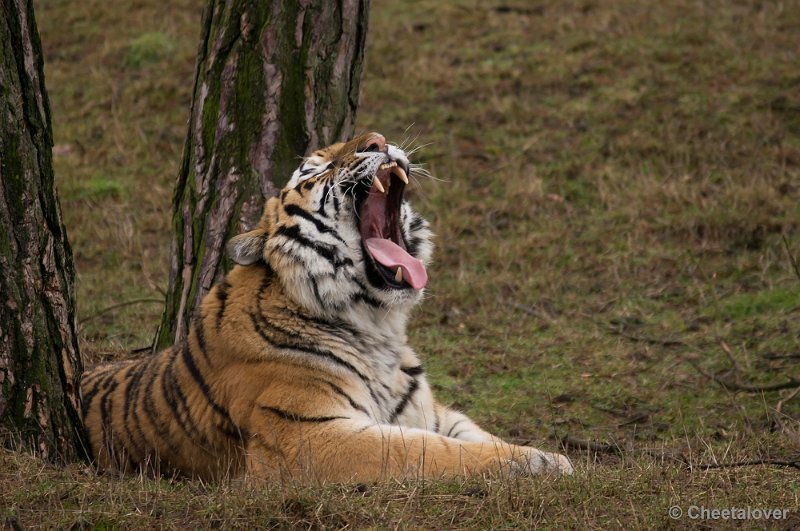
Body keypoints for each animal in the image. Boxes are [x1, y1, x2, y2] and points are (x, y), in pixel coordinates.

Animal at [78, 132, 572, 482]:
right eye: (314, 169)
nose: (377, 140)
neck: (378, 326)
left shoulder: (430, 412)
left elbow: (474, 434)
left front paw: (543, 456)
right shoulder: (307, 433)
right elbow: (423, 450)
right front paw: (542, 466)